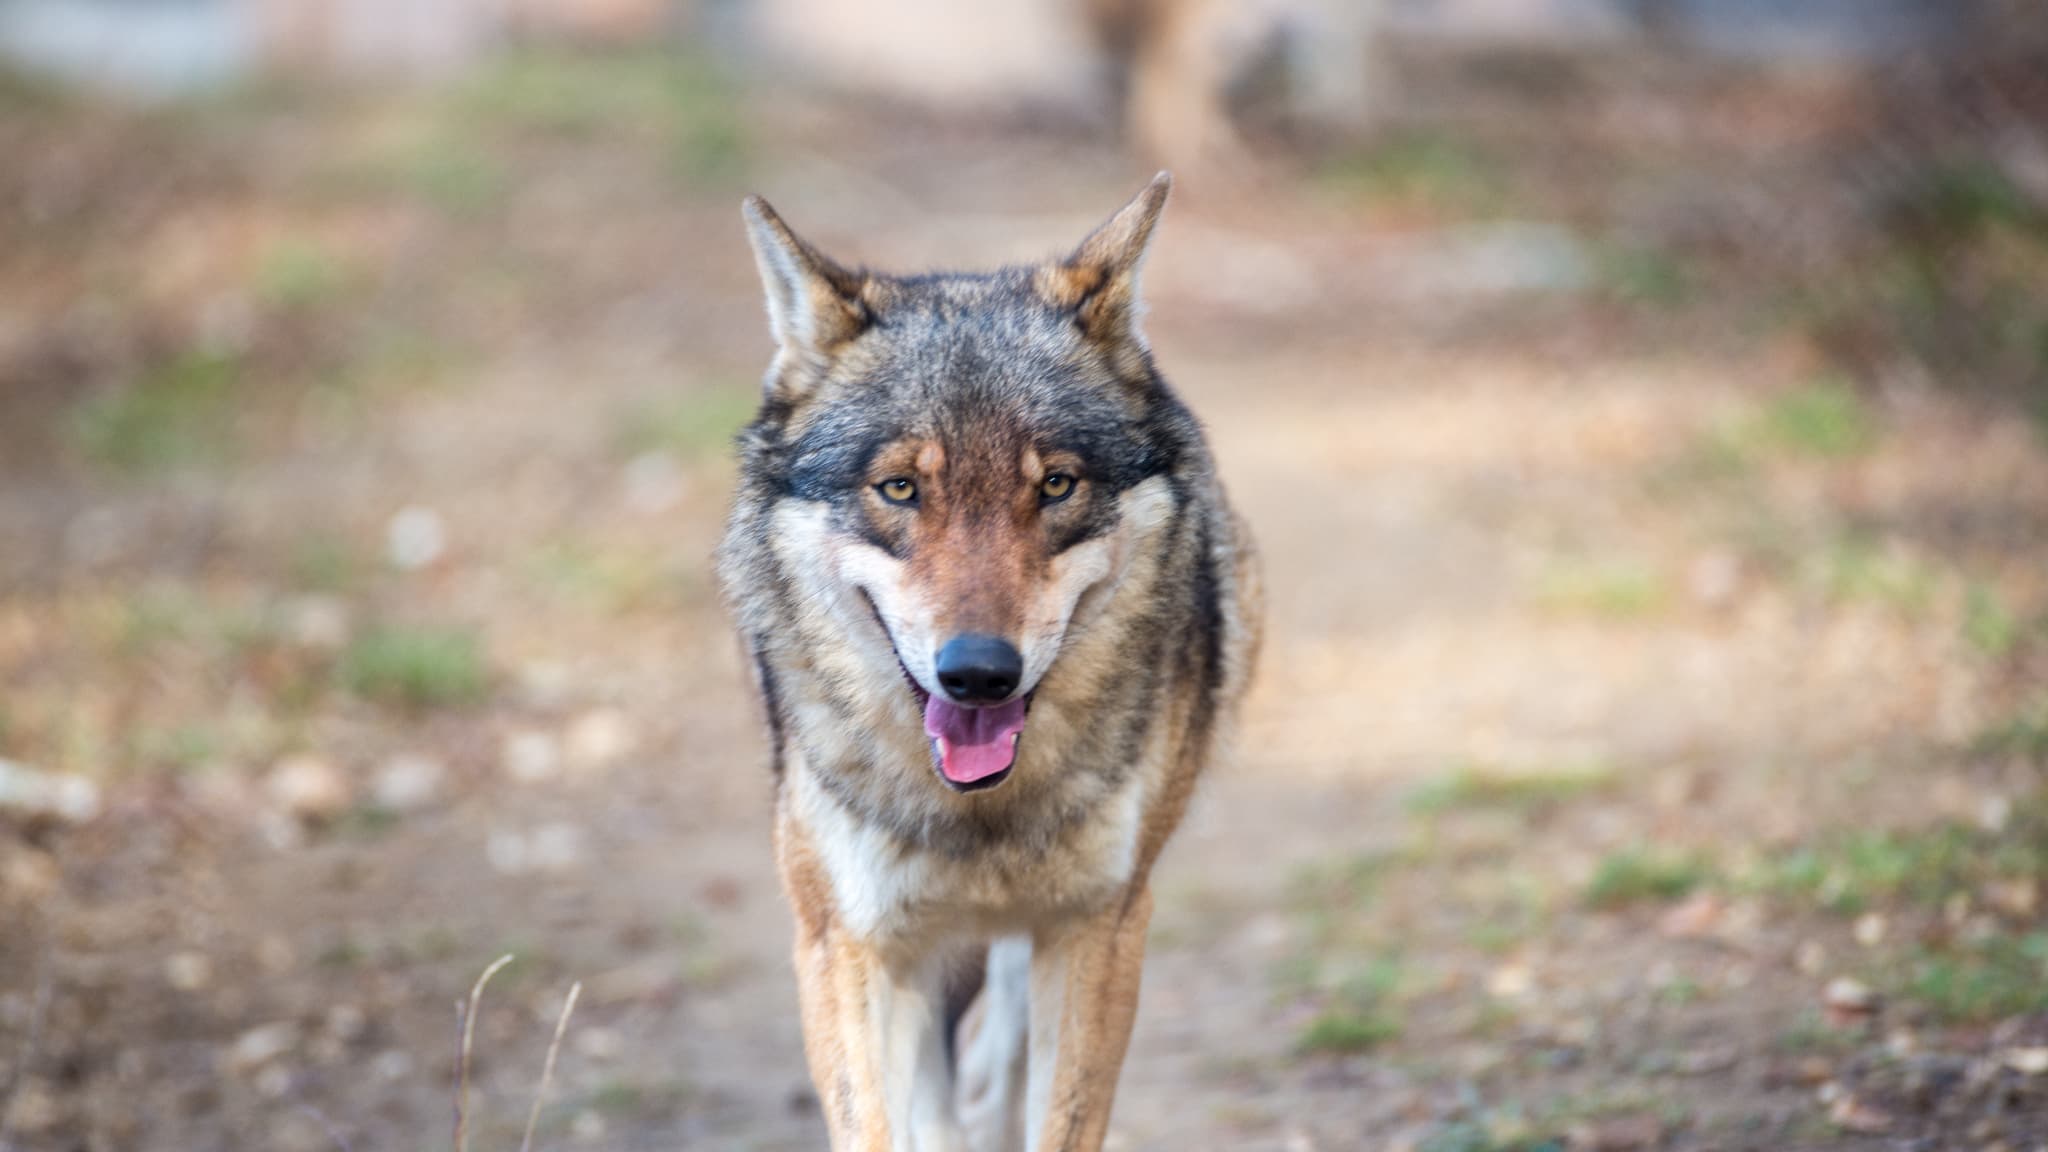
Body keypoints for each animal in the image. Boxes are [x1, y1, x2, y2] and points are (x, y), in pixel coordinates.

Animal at [720, 172, 1261, 1147]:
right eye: (900, 488)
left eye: (1056, 485)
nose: (977, 673)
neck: (976, 815)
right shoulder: (846, 941)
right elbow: (880, 1124)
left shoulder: (1101, 925)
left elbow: (1059, 1116)